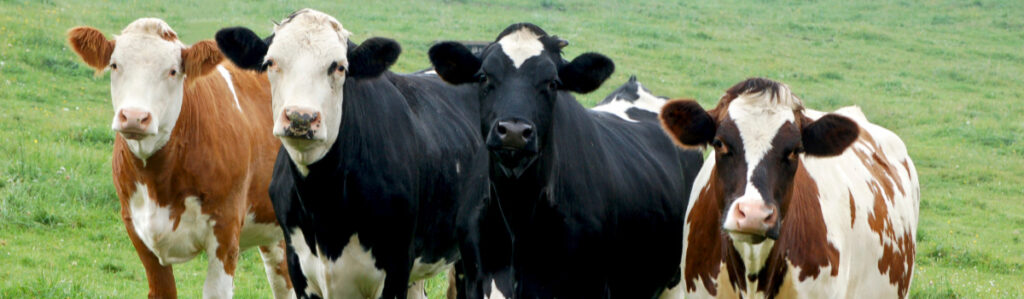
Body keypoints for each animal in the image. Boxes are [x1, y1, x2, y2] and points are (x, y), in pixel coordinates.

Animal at [68, 19, 292, 299]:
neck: (158, 181)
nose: (134, 117)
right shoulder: (136, 228)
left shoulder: (226, 231)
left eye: (173, 71)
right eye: (115, 65)